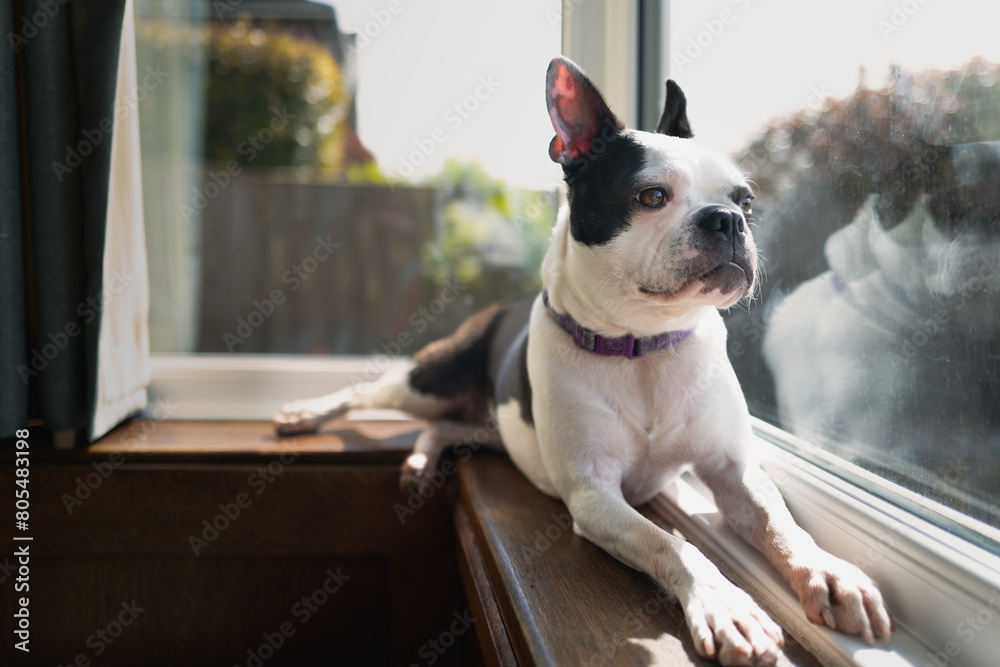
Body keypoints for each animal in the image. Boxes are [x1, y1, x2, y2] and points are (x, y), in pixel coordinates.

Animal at [276, 58, 892, 667]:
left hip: (490, 426)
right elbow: (673, 545)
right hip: (428, 380)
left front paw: (828, 572)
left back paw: (420, 459)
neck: (643, 344)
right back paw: (306, 413)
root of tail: (498, 308)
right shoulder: (594, 493)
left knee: (445, 427)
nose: (726, 220)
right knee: (369, 393)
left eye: (745, 202)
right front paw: (725, 605)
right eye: (651, 196)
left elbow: (779, 521)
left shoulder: (731, 469)